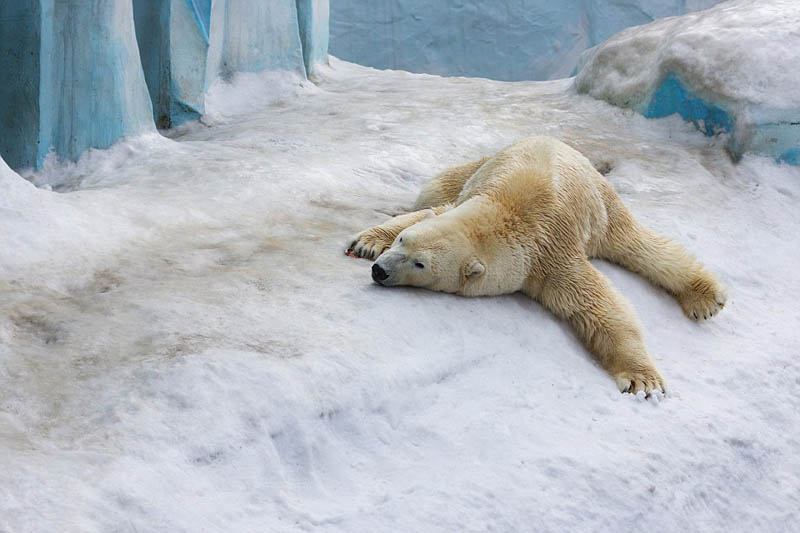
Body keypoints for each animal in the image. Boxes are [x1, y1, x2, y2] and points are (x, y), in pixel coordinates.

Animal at [346, 137, 728, 394]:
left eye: (420, 264)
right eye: (402, 242)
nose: (380, 270)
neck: (505, 214)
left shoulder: (551, 253)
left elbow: (597, 304)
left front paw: (642, 380)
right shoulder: (470, 201)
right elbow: (431, 211)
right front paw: (366, 242)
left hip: (602, 207)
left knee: (640, 245)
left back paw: (706, 298)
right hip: (478, 167)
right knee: (434, 189)